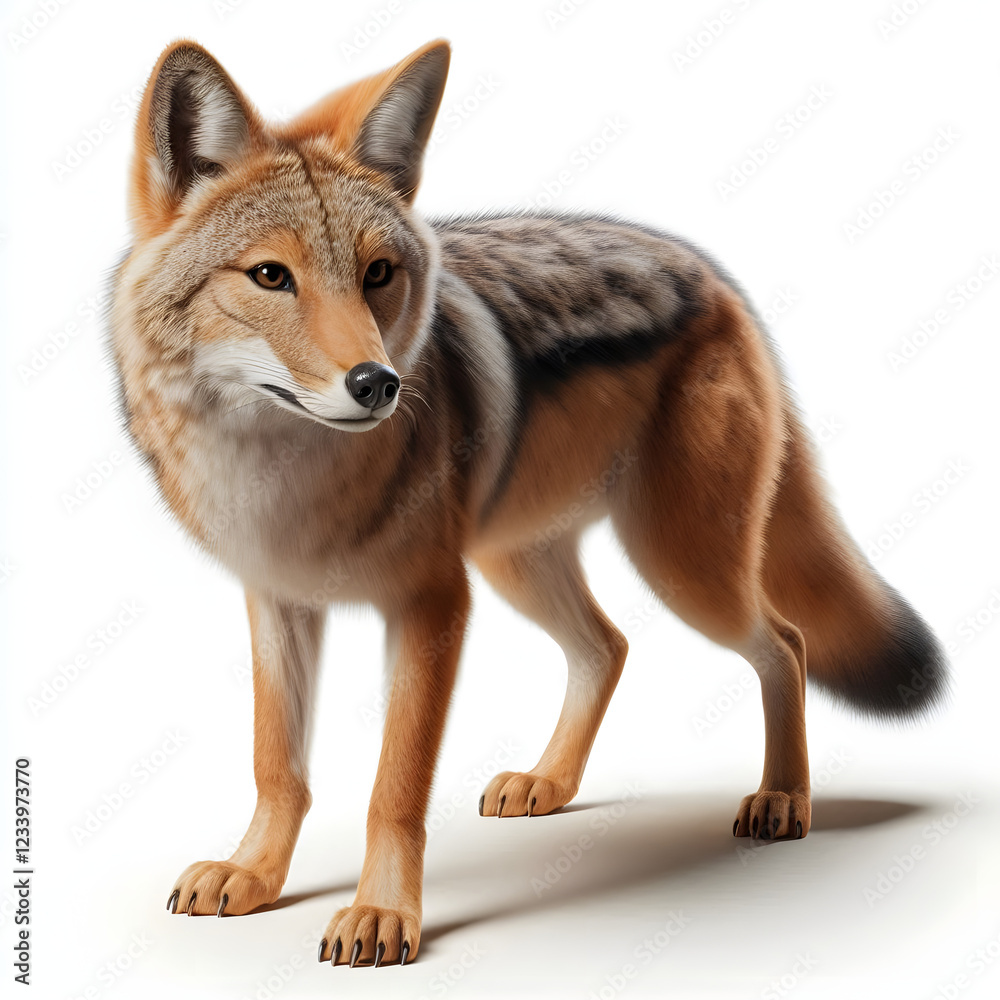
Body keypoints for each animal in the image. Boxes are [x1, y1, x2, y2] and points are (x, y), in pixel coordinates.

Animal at [109, 38, 948, 968]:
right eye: (270, 276)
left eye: (377, 275)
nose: (378, 384)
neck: (283, 477)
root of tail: (716, 280)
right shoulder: (279, 603)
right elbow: (276, 766)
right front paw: (256, 875)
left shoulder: (433, 604)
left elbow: (393, 788)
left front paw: (383, 914)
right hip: (524, 564)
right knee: (609, 646)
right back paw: (552, 782)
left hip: (683, 570)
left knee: (786, 644)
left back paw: (784, 799)